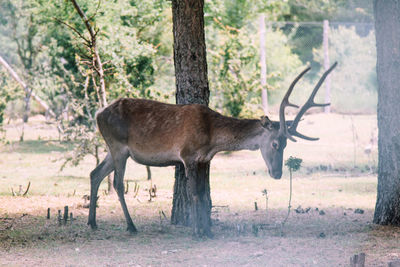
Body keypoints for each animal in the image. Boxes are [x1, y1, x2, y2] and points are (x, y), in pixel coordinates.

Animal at [88, 62, 338, 237]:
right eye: (276, 144)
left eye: (286, 145)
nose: (277, 174)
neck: (211, 139)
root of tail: (98, 113)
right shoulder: (187, 155)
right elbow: (195, 194)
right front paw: (198, 231)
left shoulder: (202, 159)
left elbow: (202, 193)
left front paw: (206, 230)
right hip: (118, 146)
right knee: (118, 183)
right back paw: (130, 226)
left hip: (113, 149)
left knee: (95, 173)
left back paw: (92, 222)